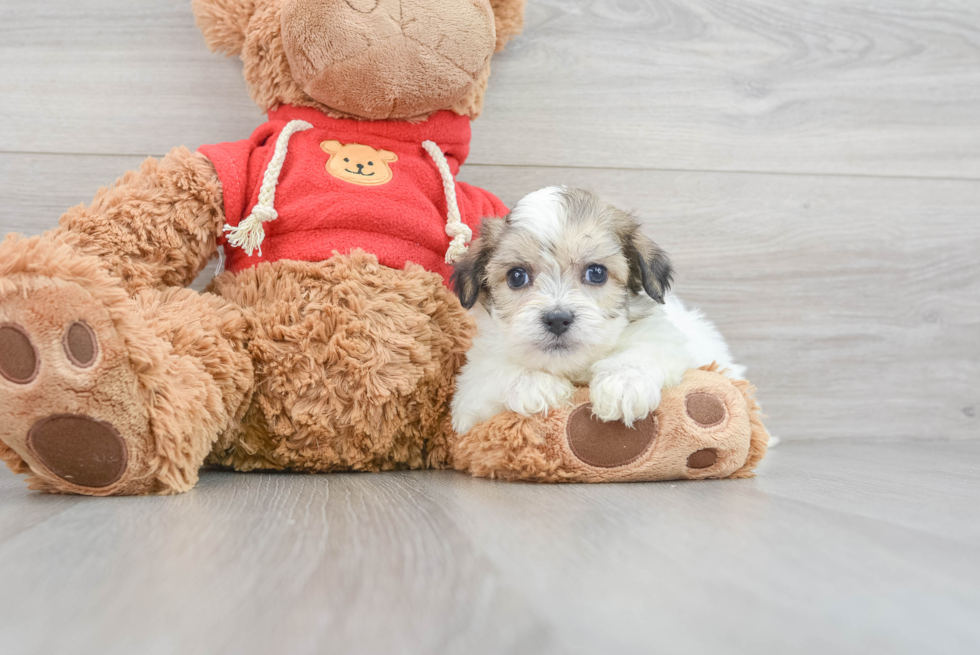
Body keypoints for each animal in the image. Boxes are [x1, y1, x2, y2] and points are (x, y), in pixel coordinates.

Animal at [452, 187, 744, 438]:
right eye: (517, 276)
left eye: (596, 273)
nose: (557, 319)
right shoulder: (471, 389)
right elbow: (491, 373)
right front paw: (533, 384)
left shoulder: (662, 338)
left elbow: (645, 350)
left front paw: (623, 383)